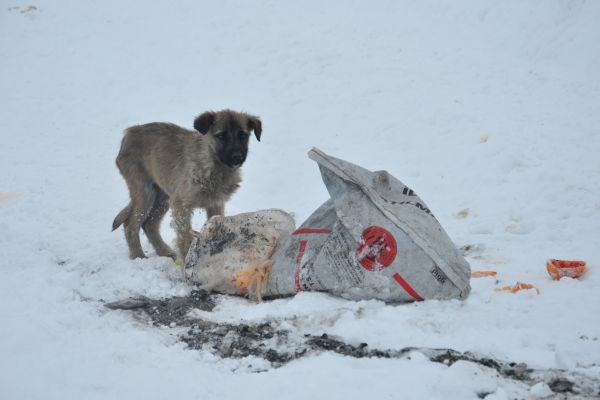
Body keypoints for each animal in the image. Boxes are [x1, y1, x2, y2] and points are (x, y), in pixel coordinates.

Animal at [113, 110, 262, 260]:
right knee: (130, 225)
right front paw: (186, 260)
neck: (212, 165)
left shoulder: (215, 204)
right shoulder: (181, 204)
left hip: (163, 196)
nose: (237, 157)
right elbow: (185, 237)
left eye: (243, 135)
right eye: (221, 136)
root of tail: (128, 134)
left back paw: (165, 252)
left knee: (150, 224)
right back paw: (138, 256)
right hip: (146, 193)